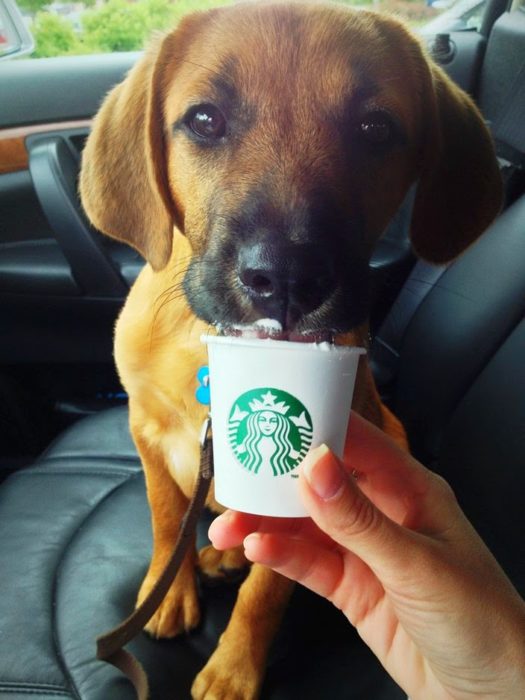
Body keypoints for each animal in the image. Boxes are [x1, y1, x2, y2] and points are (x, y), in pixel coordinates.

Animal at [78, 2, 500, 696]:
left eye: (375, 128)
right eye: (204, 120)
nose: (286, 278)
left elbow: (267, 592)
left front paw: (233, 669)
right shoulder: (143, 427)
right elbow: (165, 518)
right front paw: (167, 591)